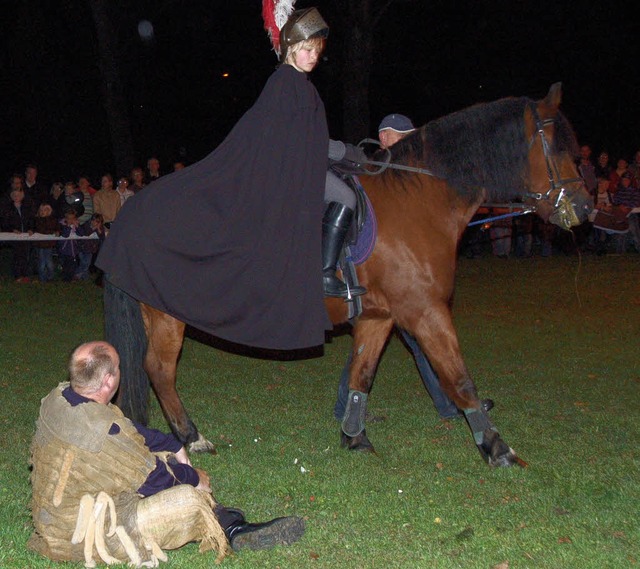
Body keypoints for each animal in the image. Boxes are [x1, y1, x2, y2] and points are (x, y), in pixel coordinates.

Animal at [104, 83, 592, 466]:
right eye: (559, 147)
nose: (586, 207)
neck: (418, 202)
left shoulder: (380, 316)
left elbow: (362, 375)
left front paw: (354, 437)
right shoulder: (425, 311)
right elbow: (458, 377)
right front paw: (496, 446)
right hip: (167, 314)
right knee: (160, 370)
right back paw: (193, 437)